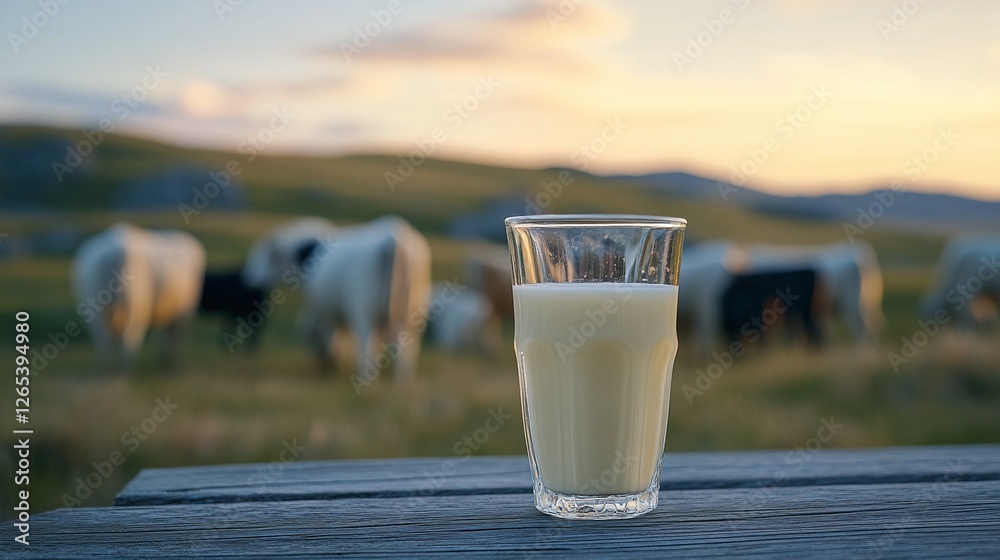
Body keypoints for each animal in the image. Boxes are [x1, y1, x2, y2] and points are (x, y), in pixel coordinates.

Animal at [71, 223, 205, 372]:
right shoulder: (182, 313)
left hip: (99, 312)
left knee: (104, 339)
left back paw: (108, 367)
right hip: (137, 308)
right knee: (130, 338)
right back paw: (129, 367)